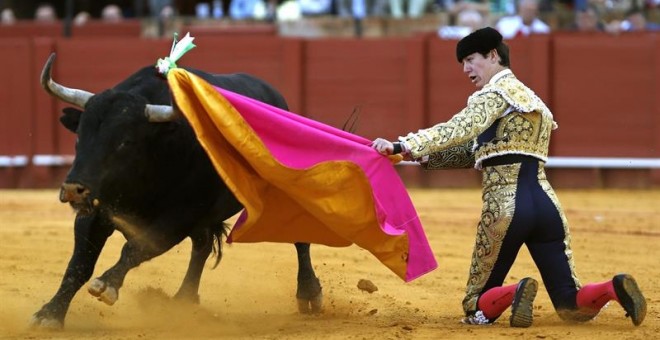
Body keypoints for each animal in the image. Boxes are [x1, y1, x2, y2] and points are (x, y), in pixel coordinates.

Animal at [31, 53, 324, 330]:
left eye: (125, 142)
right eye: (79, 136)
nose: (73, 189)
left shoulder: (179, 218)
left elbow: (138, 246)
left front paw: (107, 284)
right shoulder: (96, 211)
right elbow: (80, 264)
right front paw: (50, 314)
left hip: (285, 191)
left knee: (300, 237)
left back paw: (309, 294)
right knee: (202, 247)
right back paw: (184, 299)